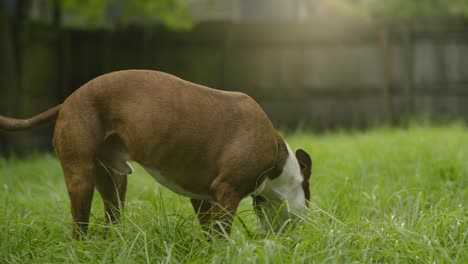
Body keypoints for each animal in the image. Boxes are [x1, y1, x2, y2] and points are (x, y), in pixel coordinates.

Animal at [2, 70, 314, 239]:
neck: (280, 164)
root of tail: (68, 100)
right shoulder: (227, 192)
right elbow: (221, 235)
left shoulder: (204, 198)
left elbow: (209, 231)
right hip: (81, 179)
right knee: (80, 227)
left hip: (113, 181)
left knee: (111, 217)